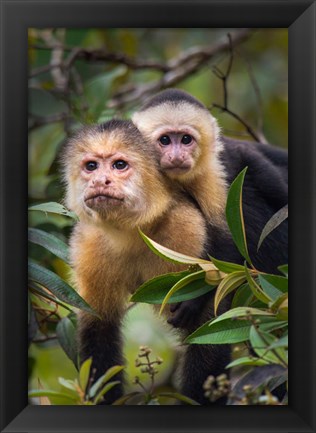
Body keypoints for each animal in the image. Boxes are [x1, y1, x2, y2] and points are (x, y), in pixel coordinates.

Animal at [60, 119, 231, 404]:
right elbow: (99, 329)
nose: (99, 180)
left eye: (119, 165)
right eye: (91, 166)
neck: (133, 231)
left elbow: (209, 327)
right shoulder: (89, 243)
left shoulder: (185, 231)